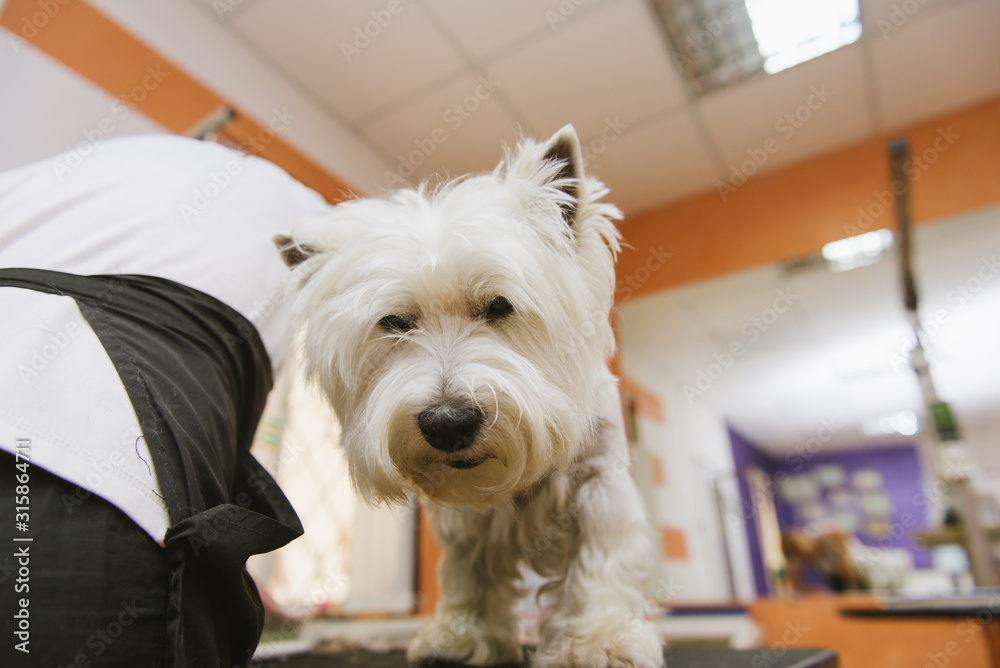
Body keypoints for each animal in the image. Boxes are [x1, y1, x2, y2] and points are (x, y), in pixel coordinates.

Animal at [278, 126, 660, 668]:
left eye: (499, 305)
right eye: (394, 322)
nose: (447, 424)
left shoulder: (598, 484)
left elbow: (600, 563)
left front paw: (598, 640)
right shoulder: (466, 516)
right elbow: (468, 573)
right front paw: (462, 636)